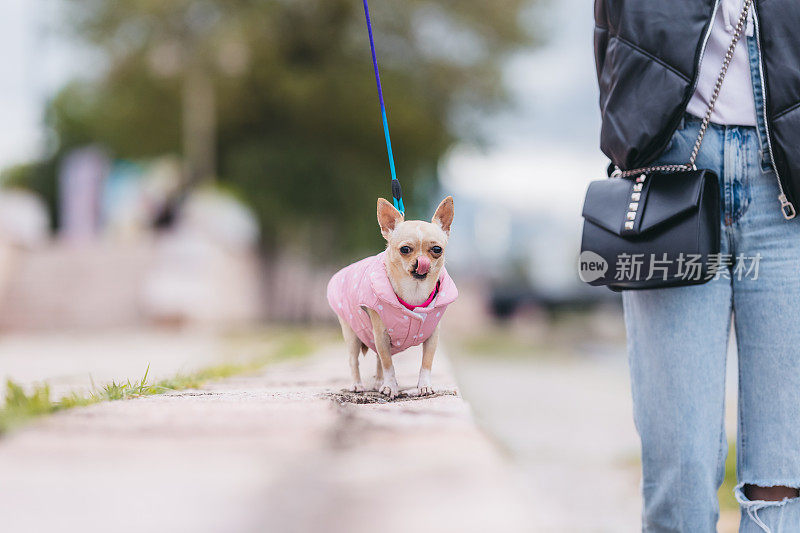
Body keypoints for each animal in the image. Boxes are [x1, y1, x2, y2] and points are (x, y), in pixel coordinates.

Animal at [328, 197, 460, 396]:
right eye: (405, 249)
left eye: (437, 249)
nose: (422, 262)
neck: (414, 291)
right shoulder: (381, 335)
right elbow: (388, 363)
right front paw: (390, 386)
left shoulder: (432, 336)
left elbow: (426, 362)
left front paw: (424, 385)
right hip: (352, 333)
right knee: (355, 360)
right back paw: (358, 384)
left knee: (377, 359)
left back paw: (378, 382)